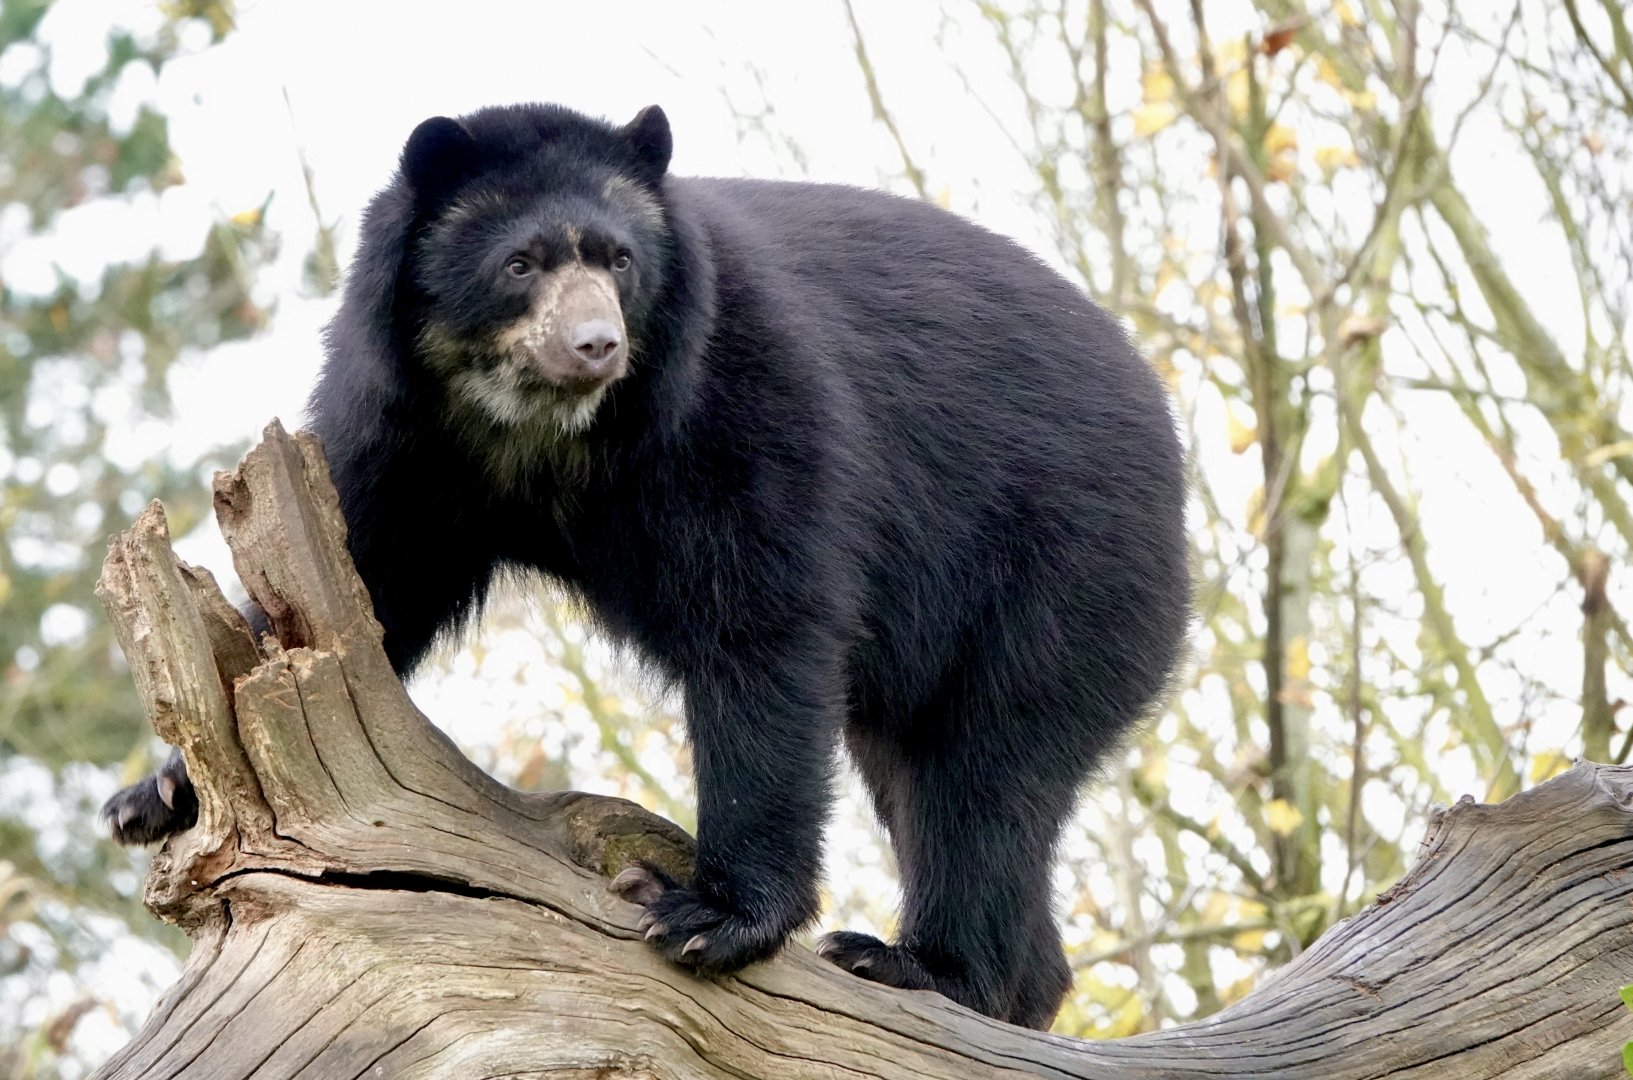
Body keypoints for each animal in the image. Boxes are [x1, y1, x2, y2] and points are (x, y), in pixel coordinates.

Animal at [103, 102, 1190, 1030]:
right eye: (522, 263)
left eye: (619, 261)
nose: (595, 344)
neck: (536, 425)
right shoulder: (402, 434)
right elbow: (367, 581)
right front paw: (154, 798)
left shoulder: (738, 402)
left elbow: (761, 621)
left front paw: (708, 915)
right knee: (930, 776)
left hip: (1058, 568)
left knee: (985, 770)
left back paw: (926, 968)